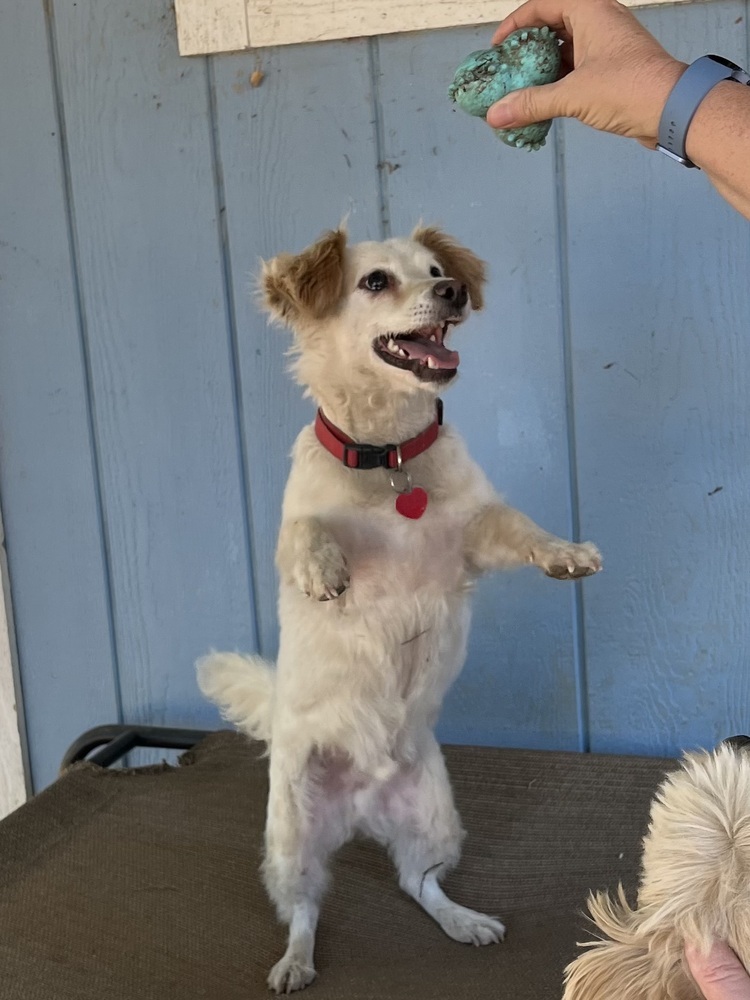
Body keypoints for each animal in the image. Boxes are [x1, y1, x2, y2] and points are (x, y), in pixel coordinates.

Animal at [197, 227, 604, 992]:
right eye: (376, 281)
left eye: (439, 270)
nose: (453, 292)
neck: (389, 457)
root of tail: (363, 806)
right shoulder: (298, 529)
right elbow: (306, 532)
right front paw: (325, 568)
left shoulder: (473, 533)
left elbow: (520, 525)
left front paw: (565, 553)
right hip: (292, 838)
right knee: (305, 908)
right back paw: (295, 960)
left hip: (435, 818)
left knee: (419, 883)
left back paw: (463, 921)